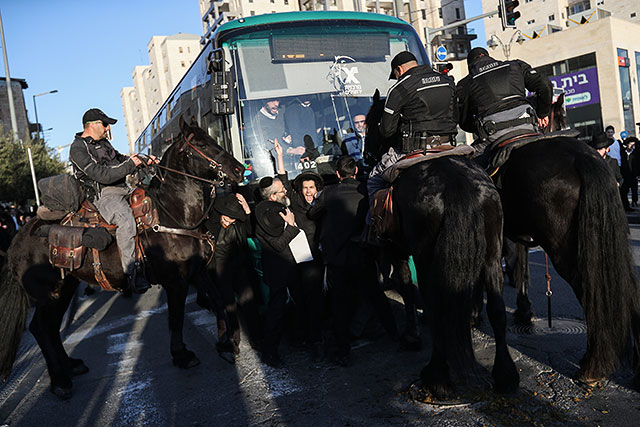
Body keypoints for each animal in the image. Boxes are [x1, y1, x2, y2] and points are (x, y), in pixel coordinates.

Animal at [0, 118, 245, 402]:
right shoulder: (176, 281)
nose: (239, 170)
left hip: (65, 289)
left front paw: (226, 344)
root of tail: (16, 241)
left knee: (49, 328)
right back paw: (60, 382)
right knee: (40, 328)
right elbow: (176, 317)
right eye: (202, 144)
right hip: (47, 294)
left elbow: (218, 302)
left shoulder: (197, 272)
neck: (173, 214)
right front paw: (182, 354)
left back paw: (71, 366)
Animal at [364, 91, 520, 398]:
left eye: (371, 123)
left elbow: (406, 288)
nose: (366, 155)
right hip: (491, 256)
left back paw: (436, 375)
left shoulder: (398, 251)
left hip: (427, 260)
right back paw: (506, 375)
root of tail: (456, 182)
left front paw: (411, 336)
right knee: (497, 310)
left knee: (436, 306)